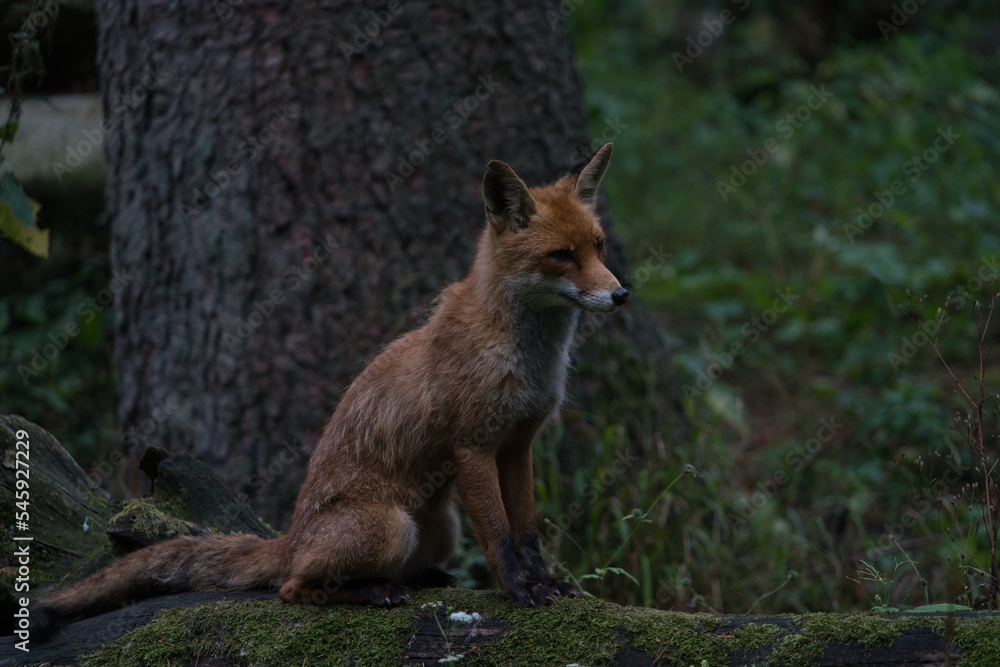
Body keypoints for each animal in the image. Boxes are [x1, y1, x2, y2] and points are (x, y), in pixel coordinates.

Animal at [32, 142, 628, 637]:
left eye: (598, 248)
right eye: (561, 256)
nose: (621, 294)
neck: (526, 357)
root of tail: (292, 535)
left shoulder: (518, 444)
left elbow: (527, 530)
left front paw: (547, 583)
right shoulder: (473, 446)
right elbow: (501, 536)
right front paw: (520, 590)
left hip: (440, 528)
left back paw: (419, 581)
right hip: (393, 526)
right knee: (292, 588)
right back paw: (371, 593)